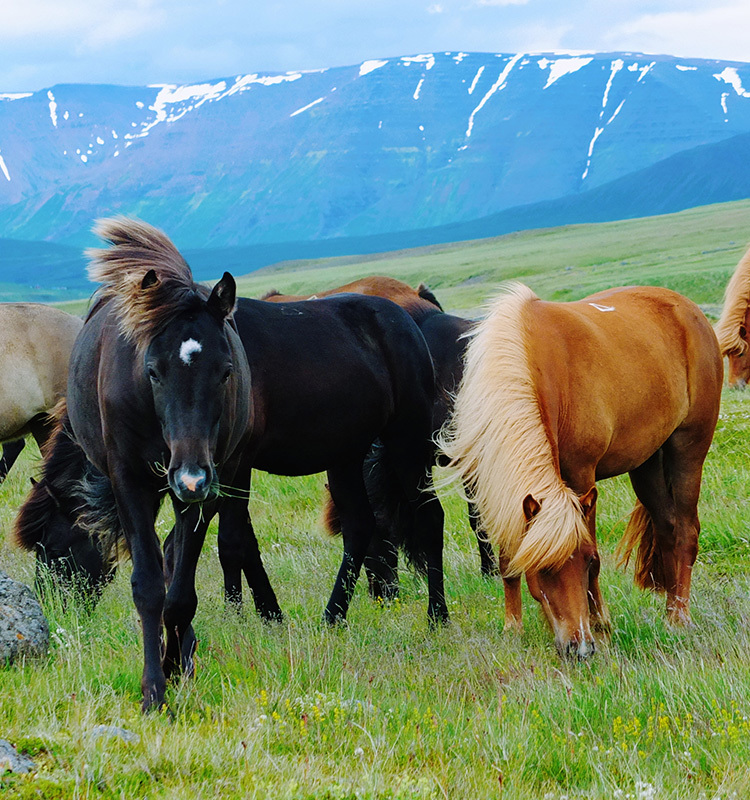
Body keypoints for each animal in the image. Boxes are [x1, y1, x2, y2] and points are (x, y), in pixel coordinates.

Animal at [440, 284, 724, 660]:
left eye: (586, 562)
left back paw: (678, 617)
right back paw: (668, 611)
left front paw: (601, 623)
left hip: (688, 448)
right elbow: (506, 559)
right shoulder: (494, 487)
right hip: (647, 463)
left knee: (687, 532)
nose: (580, 647)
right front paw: (512, 628)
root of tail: (688, 309)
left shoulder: (581, 478)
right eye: (541, 568)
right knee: (668, 528)